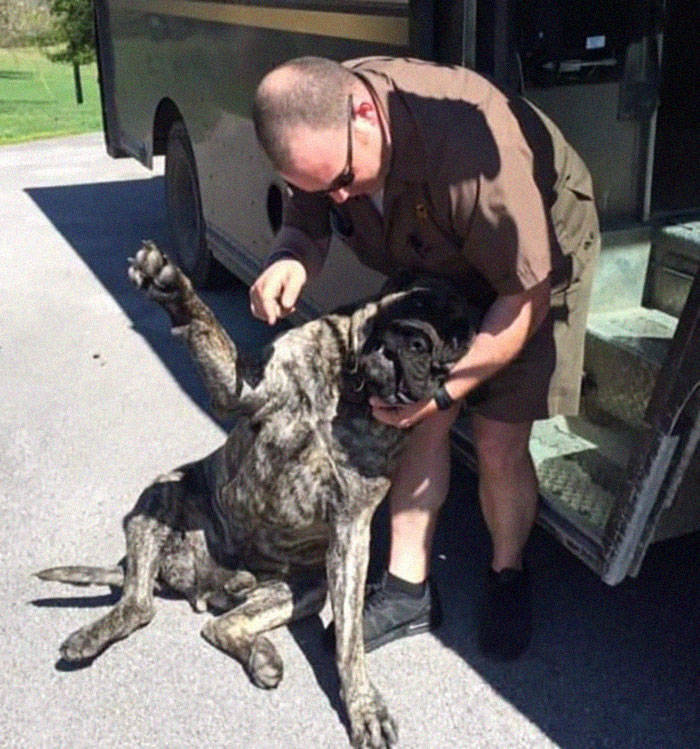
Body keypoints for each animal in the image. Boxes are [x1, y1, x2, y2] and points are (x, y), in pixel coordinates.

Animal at [37, 243, 482, 744]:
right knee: (137, 605)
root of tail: (200, 584)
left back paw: (259, 651)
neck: (348, 392)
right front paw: (174, 291)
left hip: (304, 592)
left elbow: (349, 641)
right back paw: (91, 637)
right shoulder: (243, 389)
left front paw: (364, 705)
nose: (419, 341)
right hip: (160, 494)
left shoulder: (351, 530)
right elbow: (206, 325)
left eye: (458, 345)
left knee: (217, 625)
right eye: (417, 302)